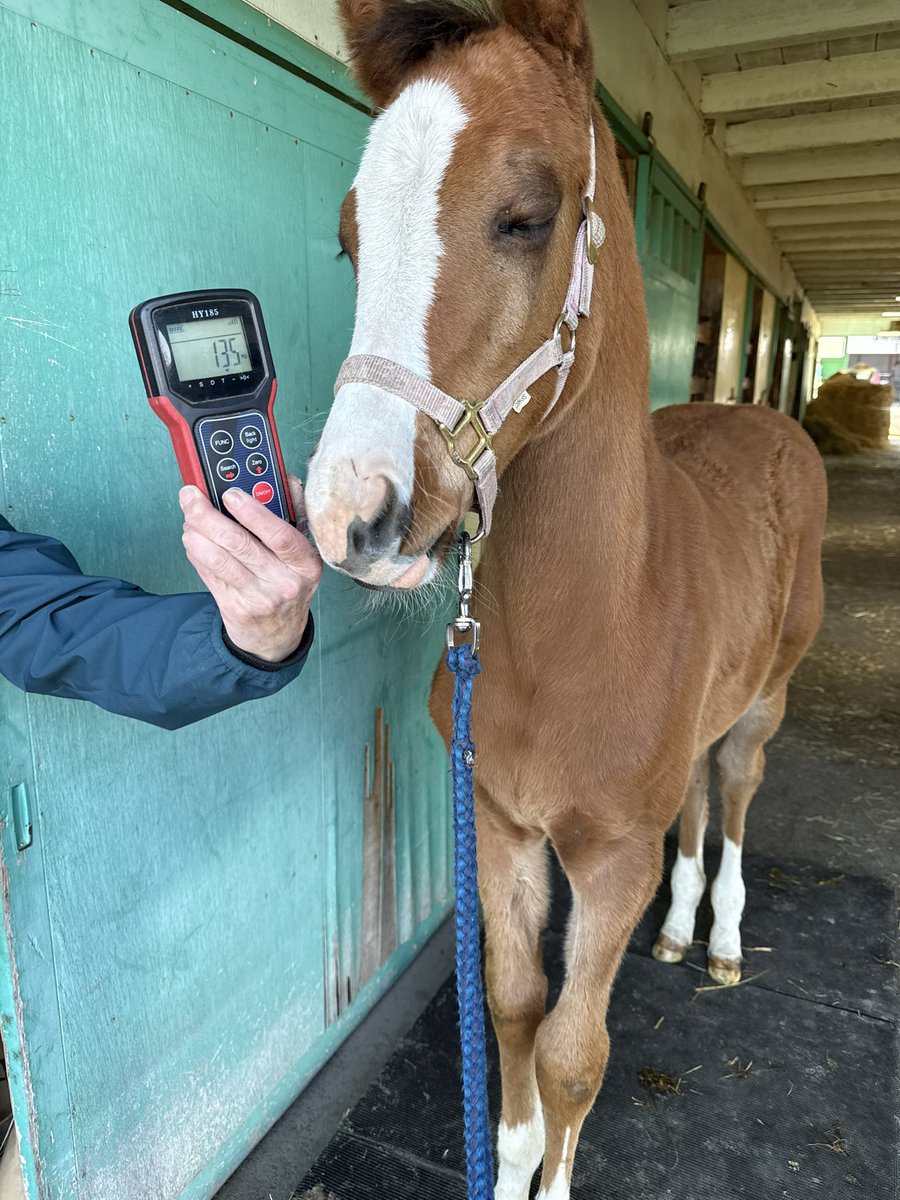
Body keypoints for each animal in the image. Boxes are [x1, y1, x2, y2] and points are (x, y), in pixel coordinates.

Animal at [304, 1, 827, 1196]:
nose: (350, 518)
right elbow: (512, 1010)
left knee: (734, 792)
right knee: (697, 798)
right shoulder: (499, 826)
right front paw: (509, 1161)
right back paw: (678, 930)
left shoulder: (612, 855)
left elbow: (574, 1056)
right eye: (351, 239)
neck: (589, 625)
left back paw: (722, 941)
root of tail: (758, 416)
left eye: (526, 218)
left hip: (766, 702)